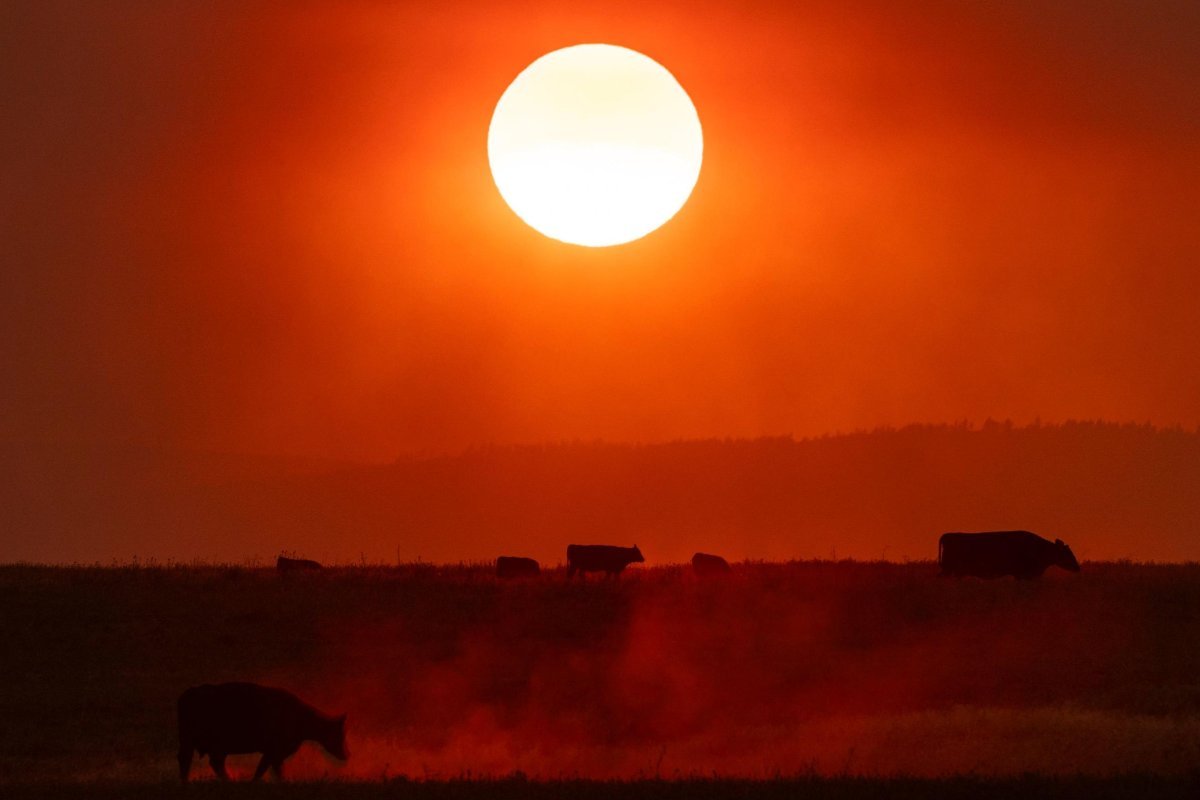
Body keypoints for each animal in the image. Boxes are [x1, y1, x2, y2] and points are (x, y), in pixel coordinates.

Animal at [176, 681, 348, 782]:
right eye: (339, 734)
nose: (347, 754)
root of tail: (188, 693)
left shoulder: (272, 753)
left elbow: (264, 769)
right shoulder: (275, 751)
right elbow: (271, 769)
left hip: (214, 747)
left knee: (214, 763)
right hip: (191, 741)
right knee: (187, 760)